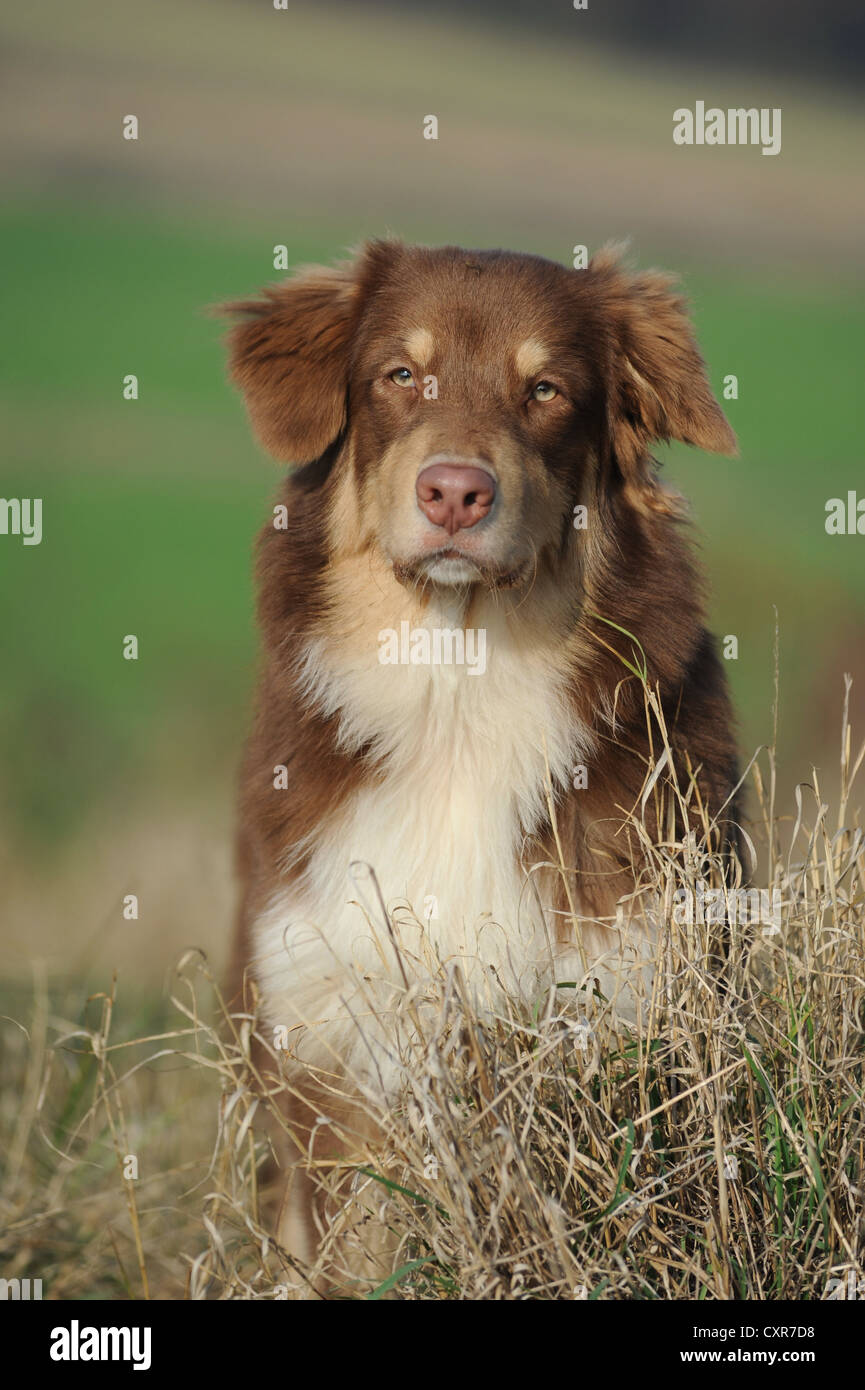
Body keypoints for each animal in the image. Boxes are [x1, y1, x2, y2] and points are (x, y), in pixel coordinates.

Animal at [219, 241, 739, 1273]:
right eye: (398, 376)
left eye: (544, 390)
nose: (454, 492)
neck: (455, 689)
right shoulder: (325, 1030)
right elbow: (357, 1249)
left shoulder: (623, 994)